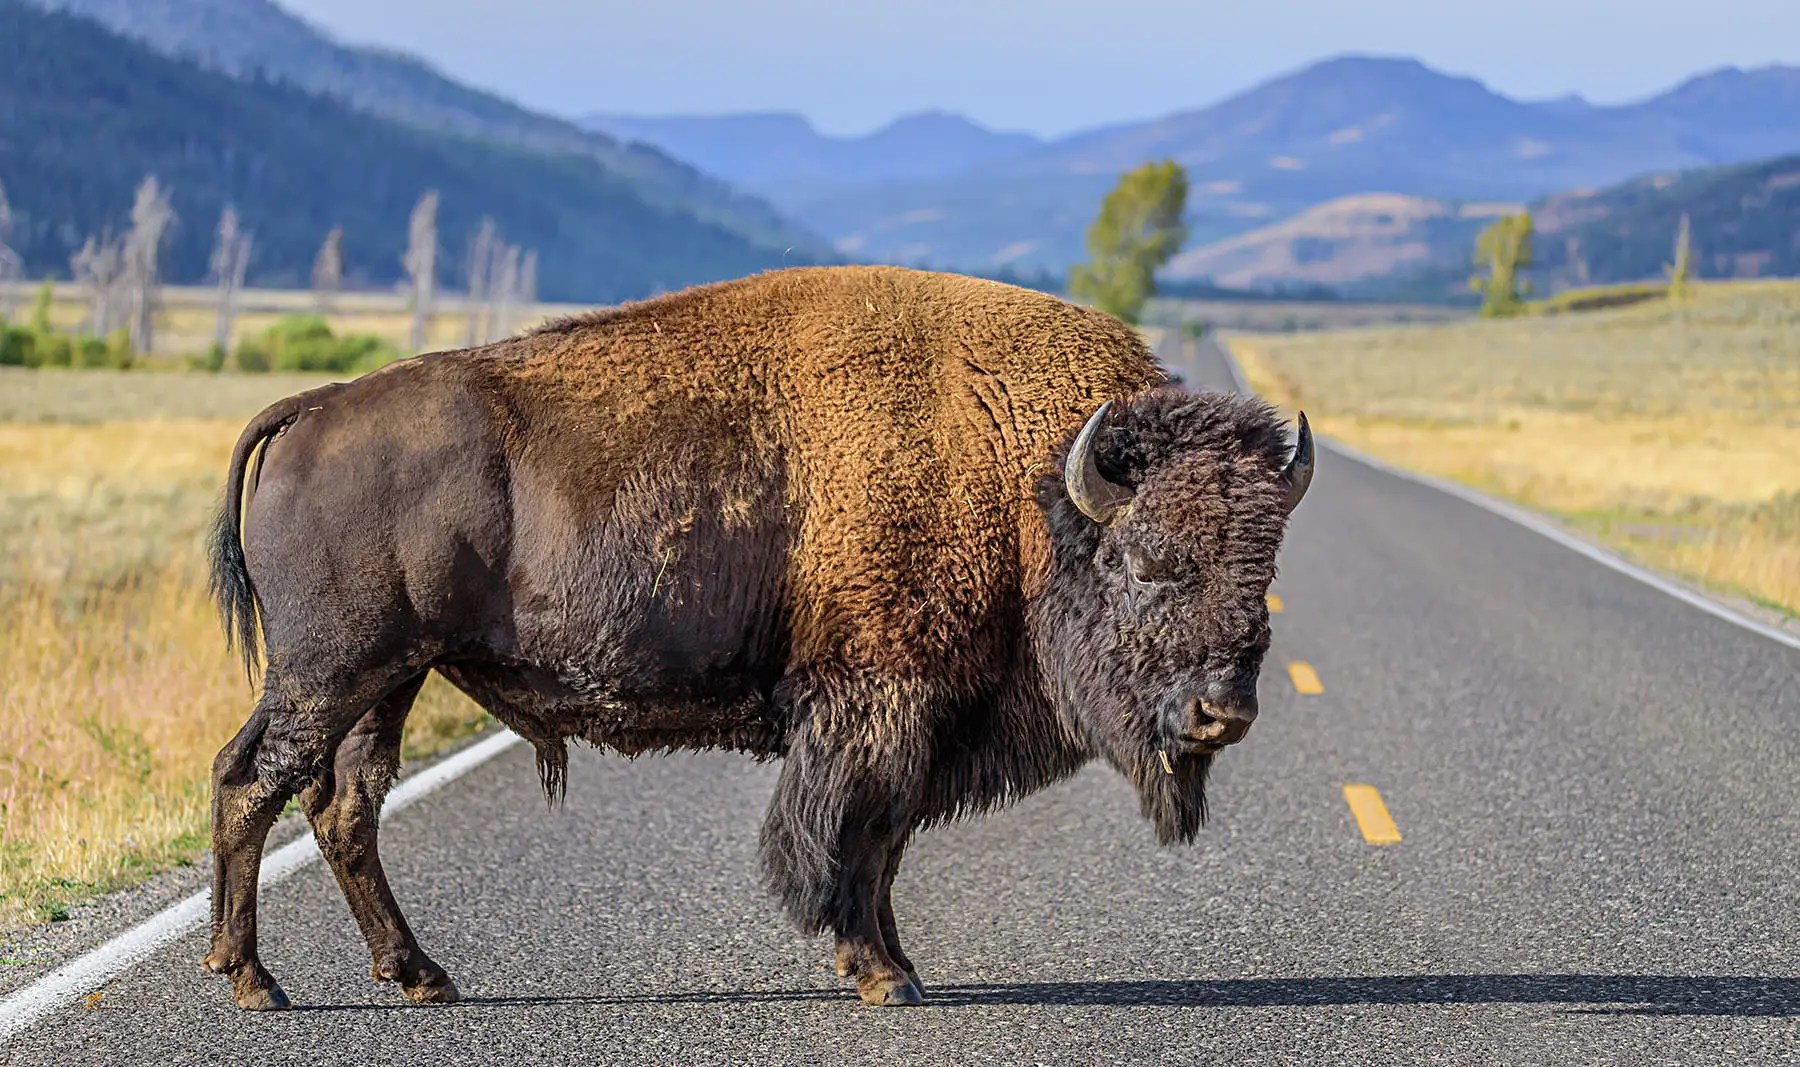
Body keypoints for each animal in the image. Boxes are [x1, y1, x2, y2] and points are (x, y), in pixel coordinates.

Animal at [204, 264, 1317, 1007]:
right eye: (1147, 562)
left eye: (1263, 571)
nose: (1223, 711)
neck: (1025, 474)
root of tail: (314, 407)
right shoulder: (878, 703)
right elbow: (851, 836)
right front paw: (881, 974)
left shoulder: (915, 718)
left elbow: (885, 843)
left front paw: (896, 964)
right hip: (331, 672)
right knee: (252, 779)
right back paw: (254, 980)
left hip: (388, 678)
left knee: (343, 804)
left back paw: (419, 975)